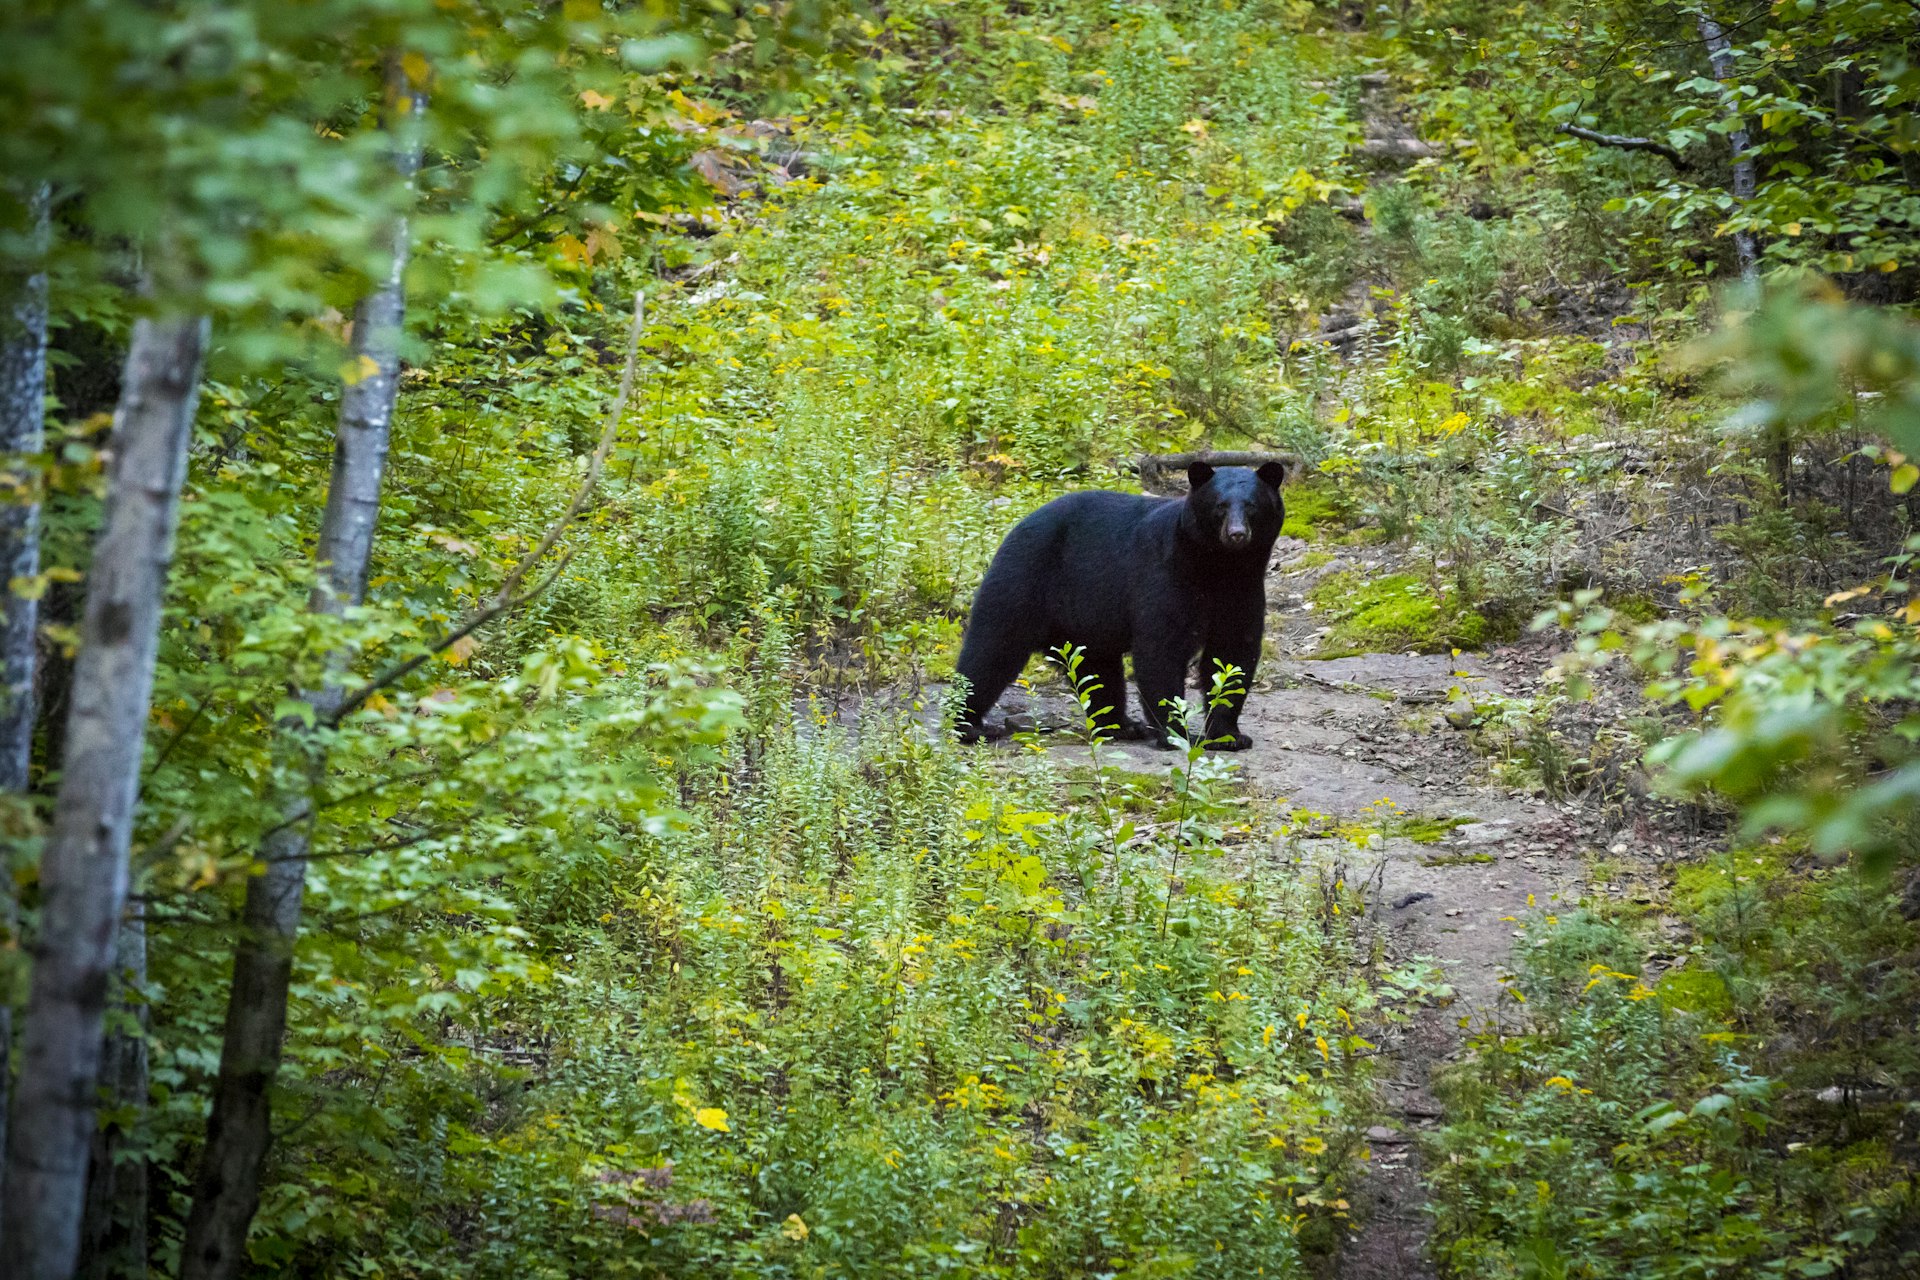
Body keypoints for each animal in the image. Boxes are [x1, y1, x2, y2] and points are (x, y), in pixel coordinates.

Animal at [952, 460, 1282, 752]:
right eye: (1220, 506)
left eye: (1251, 505)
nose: (1237, 534)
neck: (1219, 567)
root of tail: (1017, 526)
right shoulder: (1166, 574)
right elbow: (1162, 648)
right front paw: (1175, 733)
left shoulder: (1243, 590)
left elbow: (1232, 652)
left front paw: (1229, 736)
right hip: (1023, 580)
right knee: (991, 651)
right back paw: (969, 726)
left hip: (1082, 619)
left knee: (1096, 668)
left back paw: (1122, 725)